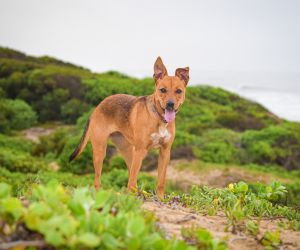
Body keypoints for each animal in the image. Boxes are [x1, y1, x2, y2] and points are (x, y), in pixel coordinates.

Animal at [69, 57, 189, 199]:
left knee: (131, 176)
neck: (159, 119)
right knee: (99, 180)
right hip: (101, 151)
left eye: (178, 91)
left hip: (128, 151)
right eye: (162, 90)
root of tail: (97, 108)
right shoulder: (141, 150)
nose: (170, 104)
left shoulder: (165, 152)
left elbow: (160, 181)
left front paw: (160, 198)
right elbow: (132, 178)